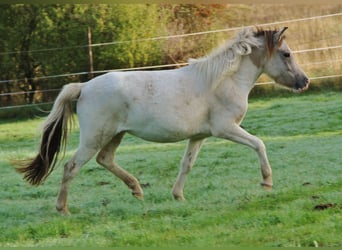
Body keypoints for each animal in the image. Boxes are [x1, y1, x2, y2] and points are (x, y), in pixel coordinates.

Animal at [16, 26, 310, 215]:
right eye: (286, 54)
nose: (304, 81)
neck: (221, 81)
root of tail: (84, 87)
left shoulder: (199, 136)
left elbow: (186, 165)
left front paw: (178, 196)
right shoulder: (226, 129)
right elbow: (259, 144)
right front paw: (267, 183)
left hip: (115, 135)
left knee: (105, 160)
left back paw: (137, 191)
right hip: (94, 138)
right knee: (71, 167)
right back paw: (62, 209)